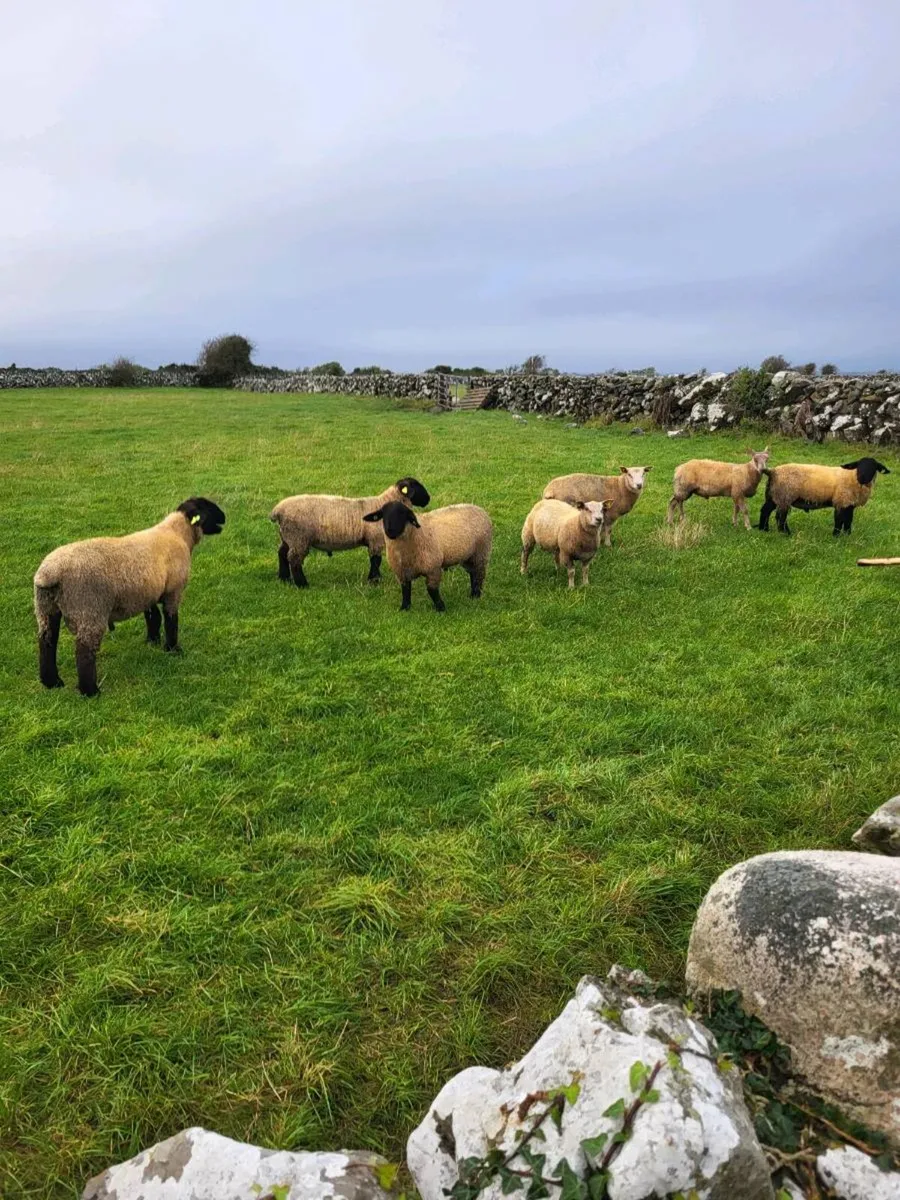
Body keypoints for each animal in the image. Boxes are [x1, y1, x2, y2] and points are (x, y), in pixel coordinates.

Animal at [34, 497, 225, 697]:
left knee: (47, 642)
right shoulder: (173, 591)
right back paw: (91, 692)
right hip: (90, 608)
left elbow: (153, 617)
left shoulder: (148, 591)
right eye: (209, 507)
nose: (224, 518)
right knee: (84, 651)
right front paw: (173, 649)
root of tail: (50, 573)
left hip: (46, 607)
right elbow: (171, 621)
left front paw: (152, 641)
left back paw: (52, 682)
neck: (178, 534)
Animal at [269, 477, 430, 587]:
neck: (383, 504)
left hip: (287, 536)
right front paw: (374, 581)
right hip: (298, 537)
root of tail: (277, 511)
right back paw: (302, 584)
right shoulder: (375, 540)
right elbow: (376, 560)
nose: (428, 499)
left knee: (282, 553)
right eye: (417, 485)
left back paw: (284, 578)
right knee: (294, 559)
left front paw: (374, 579)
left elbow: (374, 560)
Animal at [361, 500, 493, 611]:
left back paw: (476, 596)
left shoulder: (433, 568)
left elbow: (432, 590)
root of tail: (478, 508)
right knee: (473, 573)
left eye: (403, 514)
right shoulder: (402, 572)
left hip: (481, 553)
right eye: (383, 514)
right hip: (468, 557)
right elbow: (405, 590)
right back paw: (472, 595)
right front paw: (405, 608)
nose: (390, 530)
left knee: (479, 575)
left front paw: (440, 608)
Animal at [758, 458, 890, 535]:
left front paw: (847, 535)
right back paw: (785, 533)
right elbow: (839, 520)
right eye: (859, 465)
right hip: (784, 495)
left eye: (873, 467)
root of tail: (773, 471)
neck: (853, 477)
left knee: (765, 510)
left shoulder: (849, 503)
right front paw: (836, 536)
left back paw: (764, 529)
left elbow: (848, 520)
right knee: (780, 517)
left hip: (773, 495)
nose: (861, 477)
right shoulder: (840, 501)